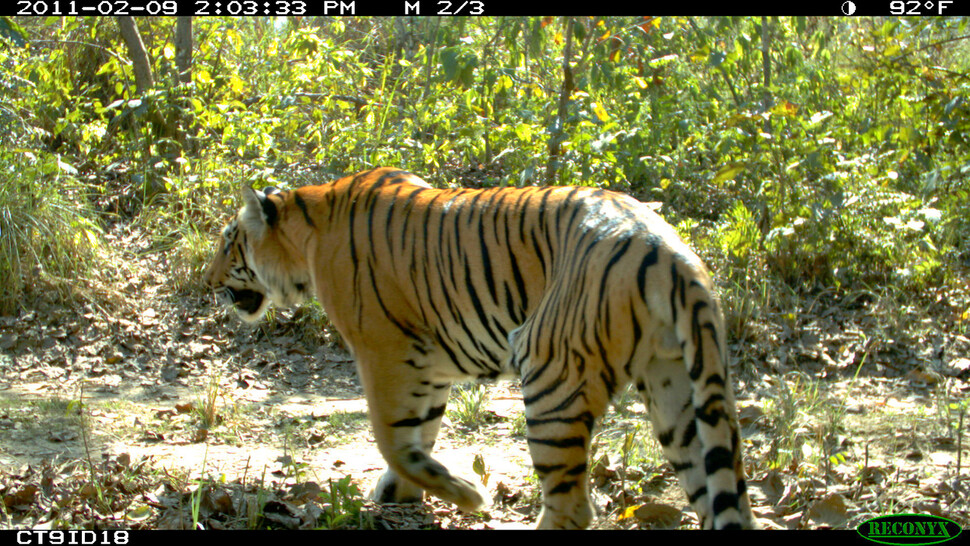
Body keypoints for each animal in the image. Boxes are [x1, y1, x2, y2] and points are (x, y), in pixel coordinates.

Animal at [204, 167, 756, 528]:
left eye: (229, 243)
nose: (209, 280)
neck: (309, 224)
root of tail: (667, 252)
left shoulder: (384, 350)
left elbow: (389, 436)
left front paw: (466, 497)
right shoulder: (425, 362)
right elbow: (418, 432)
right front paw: (403, 491)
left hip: (551, 372)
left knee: (572, 506)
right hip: (678, 391)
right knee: (719, 496)